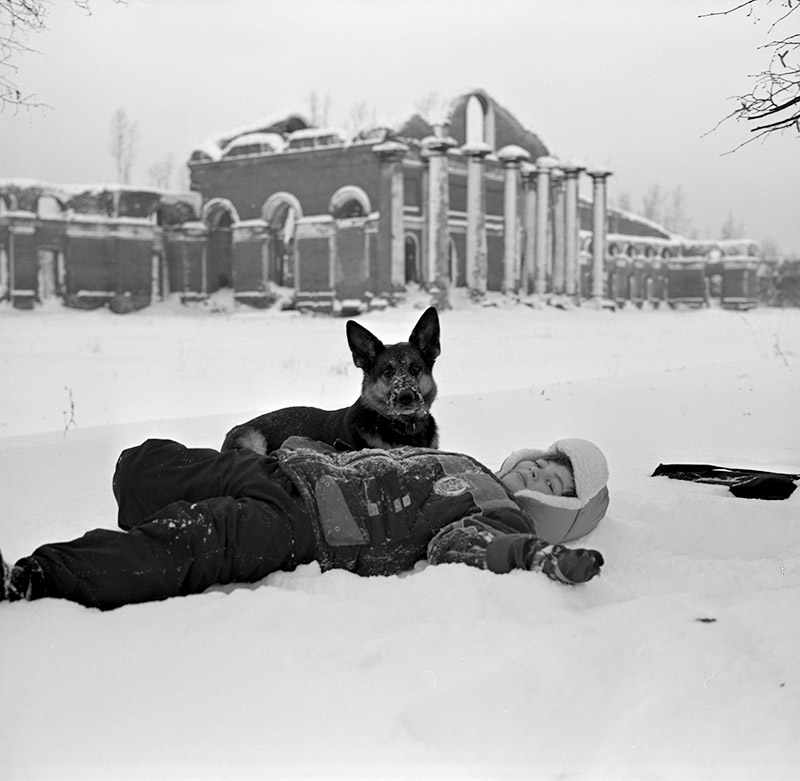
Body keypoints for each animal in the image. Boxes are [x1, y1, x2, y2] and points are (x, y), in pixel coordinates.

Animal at [222, 304, 440, 450]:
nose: (405, 397)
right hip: (253, 441)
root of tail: (232, 430)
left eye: (415, 368)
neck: (404, 427)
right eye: (387, 371)